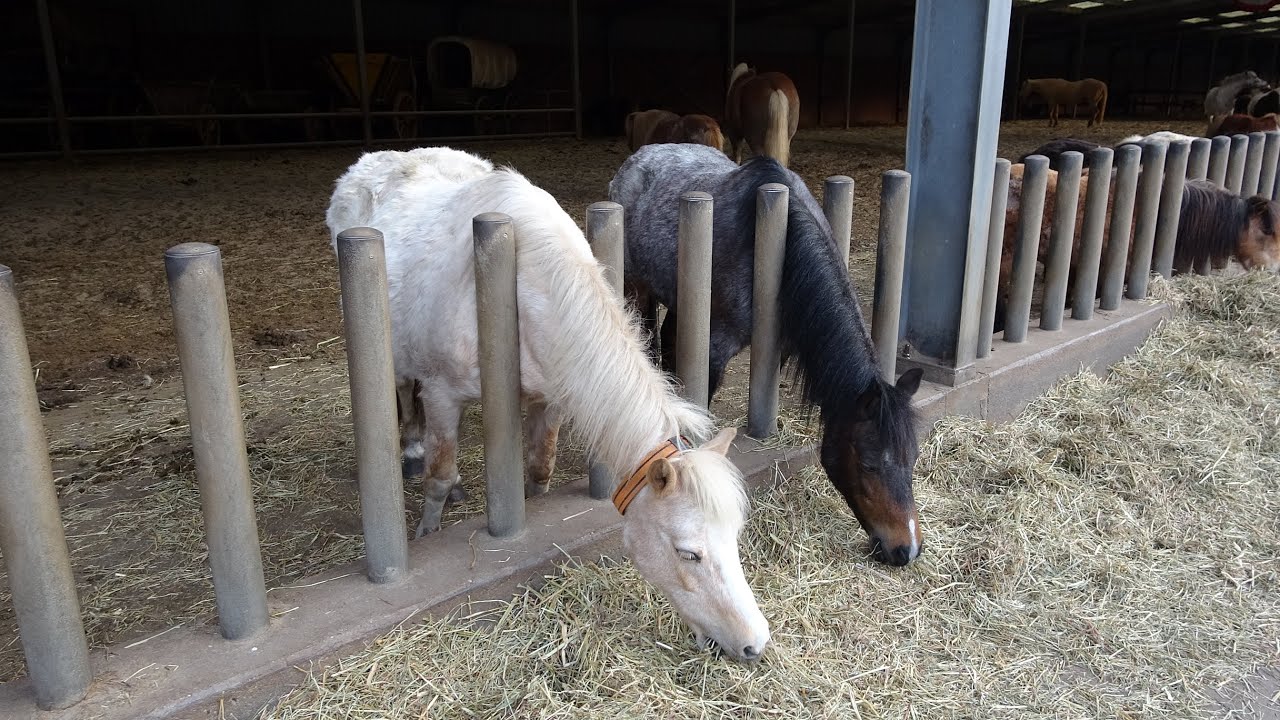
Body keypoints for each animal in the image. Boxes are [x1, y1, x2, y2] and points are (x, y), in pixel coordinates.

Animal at [325, 147, 771, 662]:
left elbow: (539, 470)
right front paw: (427, 533)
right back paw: (413, 453)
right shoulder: (442, 395)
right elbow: (438, 477)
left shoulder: (551, 400)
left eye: (735, 536)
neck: (528, 283)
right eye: (688, 553)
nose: (754, 643)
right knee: (403, 392)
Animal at [609, 143, 925, 567]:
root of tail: (640, 156)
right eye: (869, 464)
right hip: (639, 288)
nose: (906, 549)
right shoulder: (716, 347)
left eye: (914, 458)